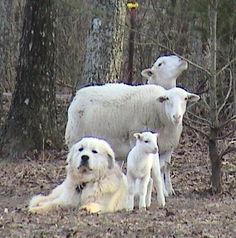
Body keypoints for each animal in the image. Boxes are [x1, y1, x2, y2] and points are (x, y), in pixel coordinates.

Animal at [65, 82, 200, 196]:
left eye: (185, 99)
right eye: (167, 99)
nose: (177, 116)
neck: (160, 112)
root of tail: (78, 95)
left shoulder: (168, 147)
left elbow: (164, 167)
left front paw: (167, 191)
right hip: (75, 139)